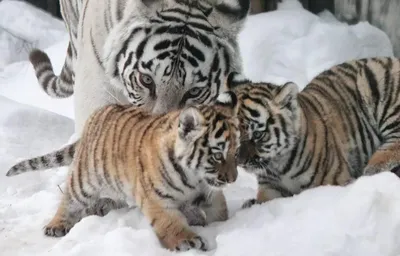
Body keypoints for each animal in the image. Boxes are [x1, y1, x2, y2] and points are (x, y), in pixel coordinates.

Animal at [223, 57, 400, 208]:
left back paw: (372, 169)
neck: (279, 166)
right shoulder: (270, 186)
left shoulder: (332, 179)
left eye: (257, 135)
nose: (240, 162)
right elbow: (263, 202)